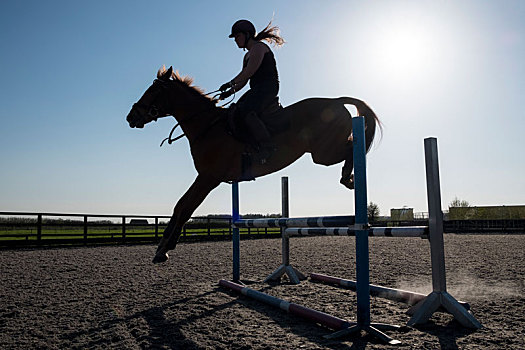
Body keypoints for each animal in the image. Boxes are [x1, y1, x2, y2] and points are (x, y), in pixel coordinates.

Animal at [127, 65, 380, 264]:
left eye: (153, 91)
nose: (131, 117)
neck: (207, 126)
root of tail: (336, 101)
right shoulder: (206, 177)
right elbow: (180, 206)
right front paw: (162, 247)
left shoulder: (209, 178)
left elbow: (186, 207)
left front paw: (164, 249)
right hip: (322, 153)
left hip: (323, 154)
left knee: (353, 147)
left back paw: (348, 177)